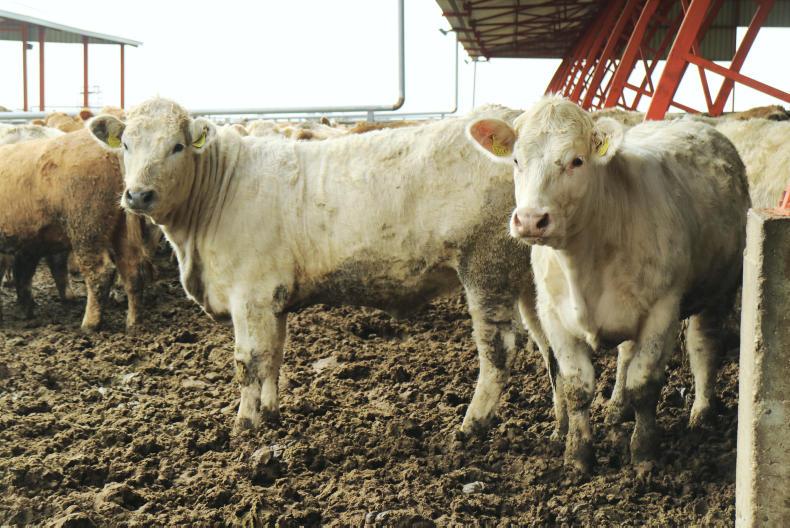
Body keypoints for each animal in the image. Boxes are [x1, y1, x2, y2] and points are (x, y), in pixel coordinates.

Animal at [0, 130, 151, 331]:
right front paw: (25, 312)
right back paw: (134, 322)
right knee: (132, 269)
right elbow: (23, 275)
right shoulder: (28, 244)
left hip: (86, 227)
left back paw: (89, 324)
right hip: (122, 229)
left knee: (100, 272)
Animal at [87, 98, 550, 436]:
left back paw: (472, 426)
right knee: (549, 345)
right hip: (528, 279)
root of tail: (511, 115)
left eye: (177, 146)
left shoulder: (250, 295)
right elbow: (273, 355)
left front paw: (244, 425)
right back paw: (559, 426)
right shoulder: (272, 299)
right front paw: (270, 413)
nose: (138, 195)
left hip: (486, 267)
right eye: (126, 144)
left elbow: (248, 361)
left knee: (499, 349)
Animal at [467, 96, 750, 472]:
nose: (530, 220)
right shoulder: (553, 316)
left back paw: (702, 412)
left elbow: (645, 384)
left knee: (704, 344)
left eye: (576, 160)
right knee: (626, 355)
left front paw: (644, 454)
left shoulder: (662, 310)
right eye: (515, 160)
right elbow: (577, 387)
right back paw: (617, 407)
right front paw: (577, 455)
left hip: (720, 286)